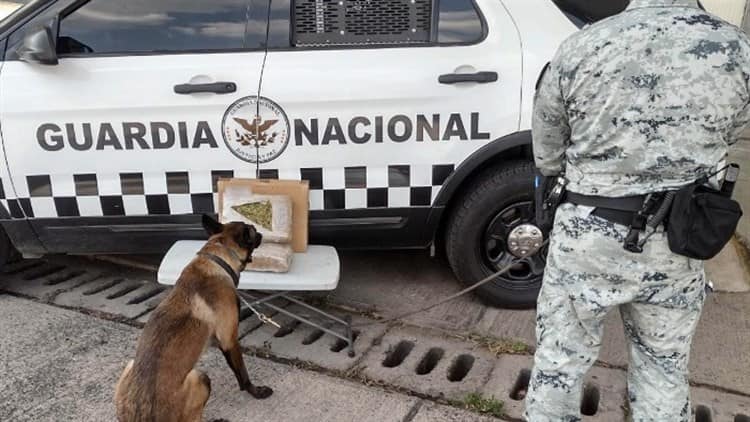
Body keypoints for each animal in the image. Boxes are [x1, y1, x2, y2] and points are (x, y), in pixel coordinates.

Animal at [114, 216, 274, 420]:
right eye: (253, 231)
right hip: (199, 377)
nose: (261, 233)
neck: (218, 259)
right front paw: (255, 391)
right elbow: (242, 373)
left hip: (130, 365)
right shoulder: (229, 340)